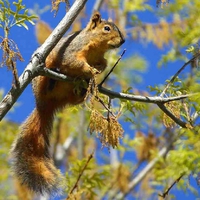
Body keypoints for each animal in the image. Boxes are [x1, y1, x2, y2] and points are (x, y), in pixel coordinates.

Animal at [10, 11, 124, 195]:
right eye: (106, 28)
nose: (122, 41)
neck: (96, 47)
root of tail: (44, 105)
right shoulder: (72, 50)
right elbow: (73, 61)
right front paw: (90, 70)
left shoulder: (100, 57)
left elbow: (104, 63)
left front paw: (97, 71)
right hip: (42, 76)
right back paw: (52, 78)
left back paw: (82, 90)